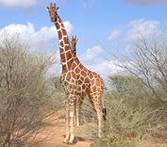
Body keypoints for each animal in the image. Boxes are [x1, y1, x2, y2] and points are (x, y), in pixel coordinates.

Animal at [46, 2, 106, 144]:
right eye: (48, 11)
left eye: (56, 10)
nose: (52, 18)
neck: (66, 62)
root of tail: (102, 81)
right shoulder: (66, 91)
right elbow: (67, 113)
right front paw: (66, 138)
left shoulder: (72, 90)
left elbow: (71, 113)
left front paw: (71, 139)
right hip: (91, 95)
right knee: (97, 111)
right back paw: (97, 134)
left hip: (96, 94)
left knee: (100, 112)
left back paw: (100, 136)